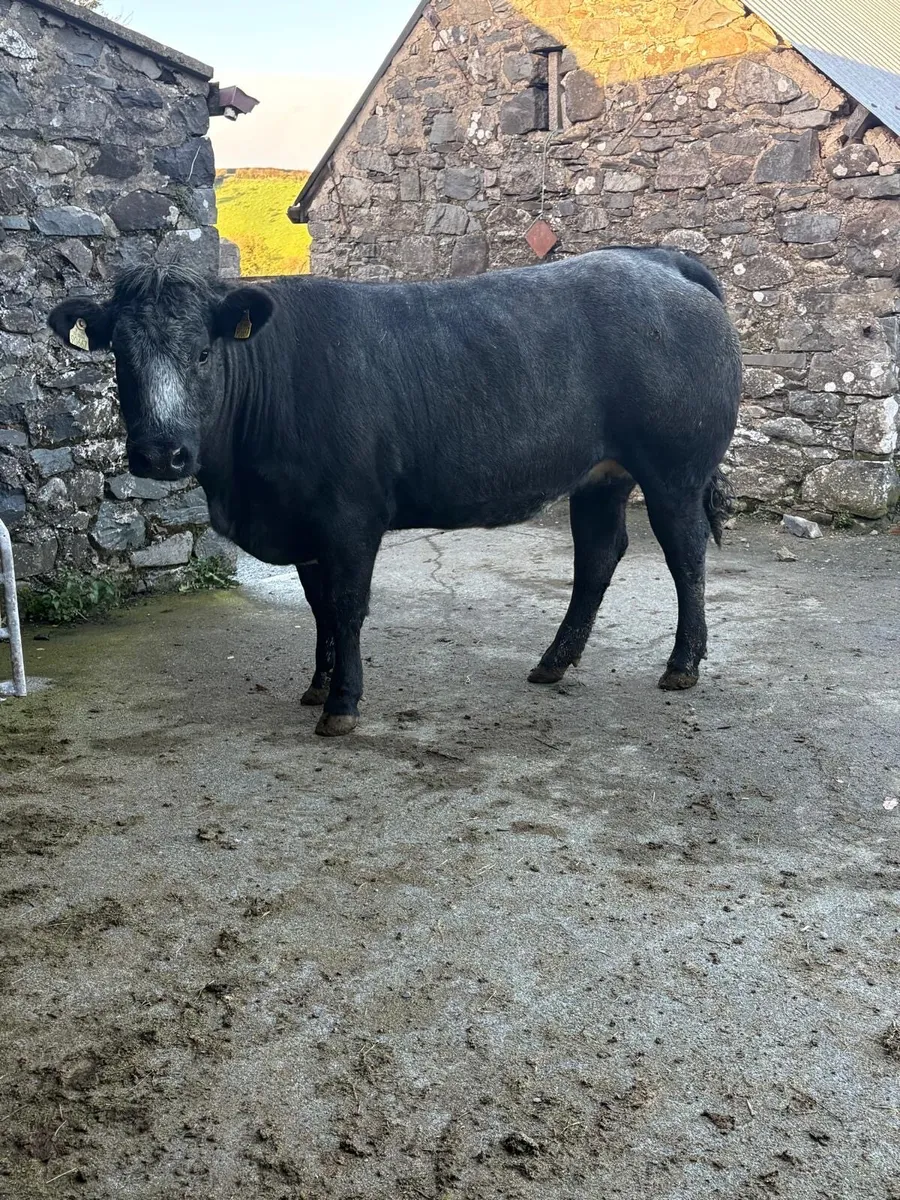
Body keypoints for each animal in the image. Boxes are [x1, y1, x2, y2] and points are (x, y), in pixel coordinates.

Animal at [48, 248, 741, 736]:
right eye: (121, 357)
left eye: (200, 354)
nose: (159, 453)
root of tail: (657, 259)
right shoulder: (303, 522)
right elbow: (320, 607)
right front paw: (318, 682)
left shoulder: (350, 515)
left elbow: (348, 606)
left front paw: (342, 702)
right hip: (600, 476)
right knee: (598, 557)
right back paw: (553, 661)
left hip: (675, 472)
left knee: (684, 556)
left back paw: (682, 664)